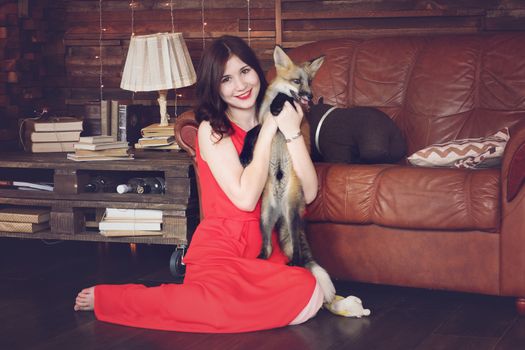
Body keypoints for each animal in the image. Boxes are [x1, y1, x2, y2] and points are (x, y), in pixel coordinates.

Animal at [238, 45, 334, 304]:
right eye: (297, 81)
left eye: (310, 82)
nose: (310, 96)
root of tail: (281, 210)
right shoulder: (263, 124)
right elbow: (251, 133)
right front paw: (245, 155)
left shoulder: (287, 114)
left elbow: (286, 99)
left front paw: (280, 103)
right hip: (264, 217)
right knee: (269, 248)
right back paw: (260, 260)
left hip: (291, 216)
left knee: (299, 255)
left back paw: (294, 264)